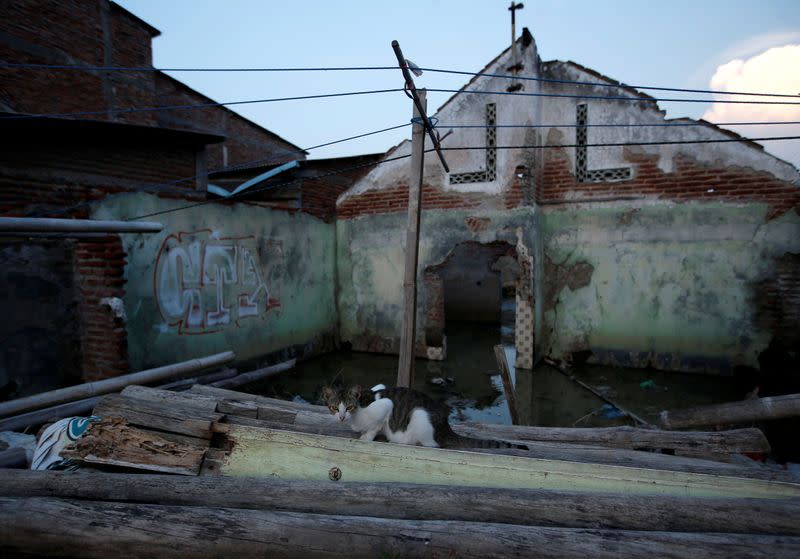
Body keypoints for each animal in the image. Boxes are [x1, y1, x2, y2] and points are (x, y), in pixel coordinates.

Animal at [322, 384, 528, 450]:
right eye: (334, 407)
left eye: (349, 407)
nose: (341, 417)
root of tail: (446, 427)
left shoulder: (385, 405)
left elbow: (376, 424)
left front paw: (366, 437)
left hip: (419, 416)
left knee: (432, 444)